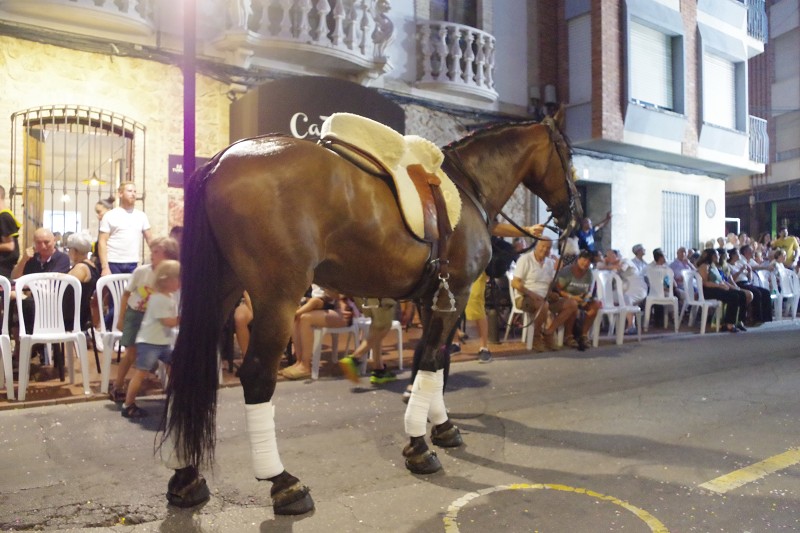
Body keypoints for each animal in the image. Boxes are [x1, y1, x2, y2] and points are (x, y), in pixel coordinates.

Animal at [160, 111, 582, 515]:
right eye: (568, 154)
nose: (576, 216)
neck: (467, 187)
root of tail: (221, 160)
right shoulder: (457, 293)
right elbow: (432, 360)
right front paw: (419, 444)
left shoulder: (434, 298)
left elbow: (432, 362)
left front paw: (440, 427)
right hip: (277, 298)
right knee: (257, 377)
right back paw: (282, 482)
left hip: (221, 291)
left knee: (192, 367)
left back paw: (186, 476)